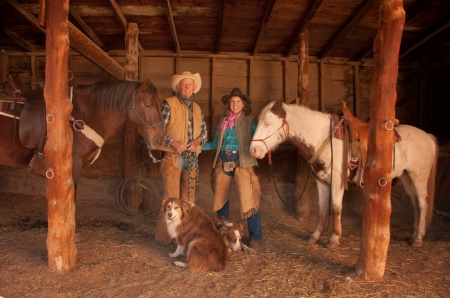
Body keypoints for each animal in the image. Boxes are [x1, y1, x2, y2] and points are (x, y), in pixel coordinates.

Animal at [250, 98, 436, 249]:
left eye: (268, 123)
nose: (253, 150)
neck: (323, 138)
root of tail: (427, 136)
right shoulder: (322, 181)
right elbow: (322, 209)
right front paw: (315, 237)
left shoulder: (337, 182)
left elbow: (335, 208)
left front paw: (334, 239)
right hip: (406, 177)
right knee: (415, 204)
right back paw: (413, 235)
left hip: (419, 177)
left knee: (422, 203)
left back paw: (418, 239)